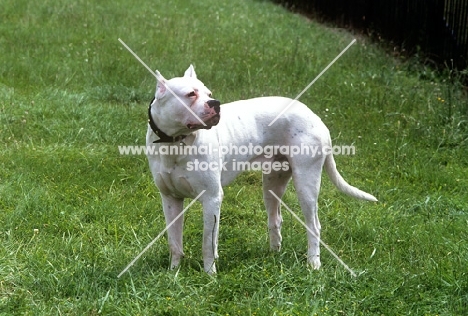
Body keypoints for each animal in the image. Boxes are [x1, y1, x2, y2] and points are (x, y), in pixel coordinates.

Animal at [146, 65, 376, 274]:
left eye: (209, 94)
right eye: (190, 94)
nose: (216, 103)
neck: (175, 142)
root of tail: (315, 116)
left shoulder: (212, 198)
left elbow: (207, 243)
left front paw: (210, 275)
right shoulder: (170, 199)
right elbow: (174, 241)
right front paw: (173, 272)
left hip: (306, 184)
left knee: (314, 225)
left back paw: (313, 263)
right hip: (273, 183)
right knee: (275, 218)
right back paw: (274, 253)